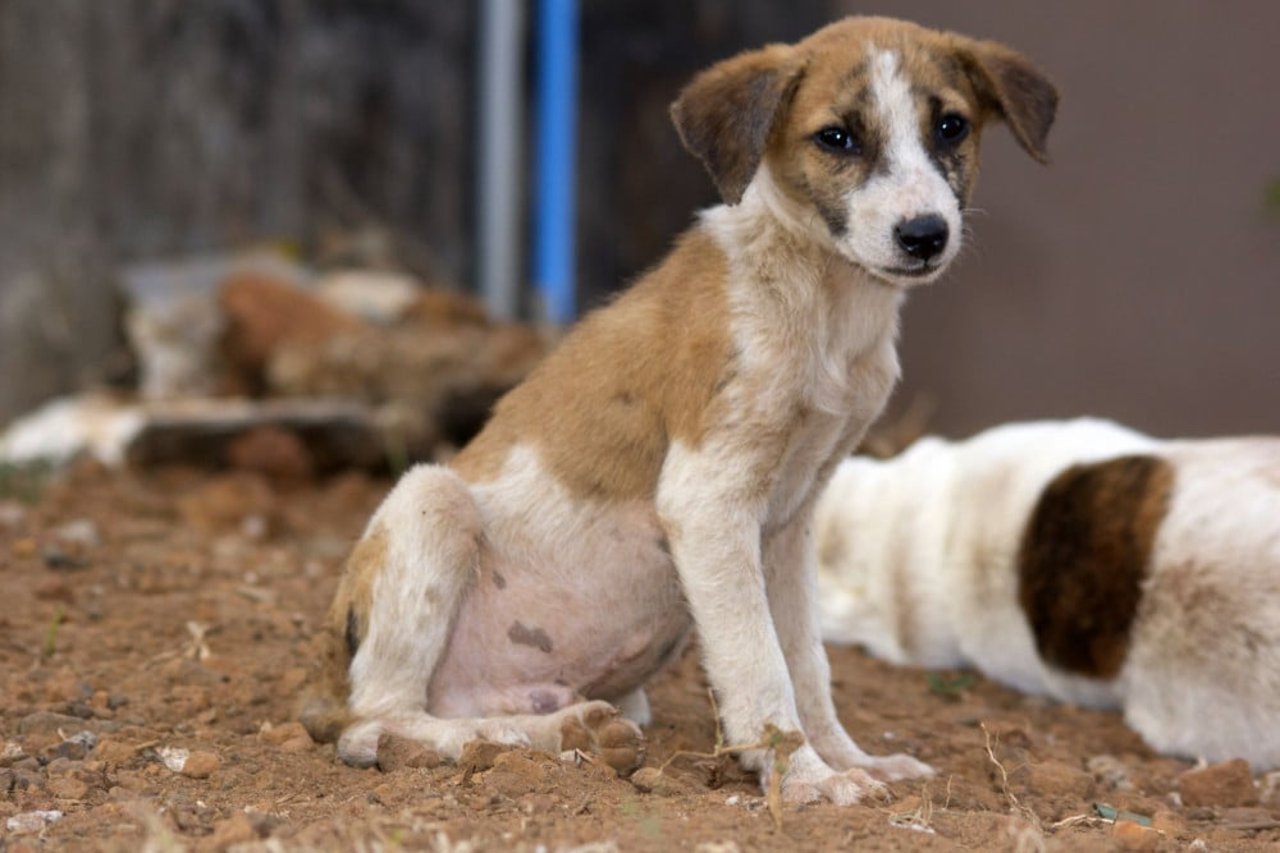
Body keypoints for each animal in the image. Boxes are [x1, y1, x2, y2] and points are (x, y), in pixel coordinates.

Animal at [302, 16, 1059, 799]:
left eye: (950, 126)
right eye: (837, 137)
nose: (925, 235)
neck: (820, 300)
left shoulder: (790, 522)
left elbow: (807, 661)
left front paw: (848, 760)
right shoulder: (709, 501)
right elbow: (761, 665)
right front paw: (806, 781)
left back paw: (563, 732)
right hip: (430, 501)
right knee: (376, 723)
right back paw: (496, 738)